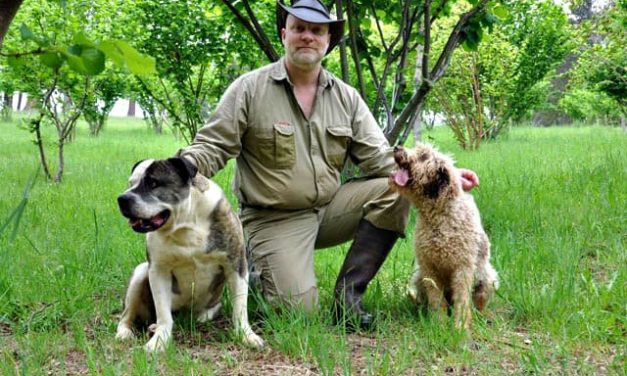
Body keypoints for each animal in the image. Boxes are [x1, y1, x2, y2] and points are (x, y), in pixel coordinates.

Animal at [115, 157, 262, 352]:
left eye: (153, 183)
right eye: (130, 183)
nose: (123, 198)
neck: (186, 224)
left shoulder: (236, 265)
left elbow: (240, 307)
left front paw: (246, 335)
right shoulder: (158, 271)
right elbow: (163, 313)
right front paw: (159, 340)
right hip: (140, 273)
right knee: (126, 315)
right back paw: (126, 332)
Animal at [388, 144, 500, 328]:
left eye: (424, 156)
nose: (397, 147)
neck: (439, 217)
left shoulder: (463, 268)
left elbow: (462, 300)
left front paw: (460, 326)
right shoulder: (429, 268)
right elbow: (436, 299)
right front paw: (438, 323)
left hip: (486, 279)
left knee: (478, 303)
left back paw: (484, 315)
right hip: (419, 277)